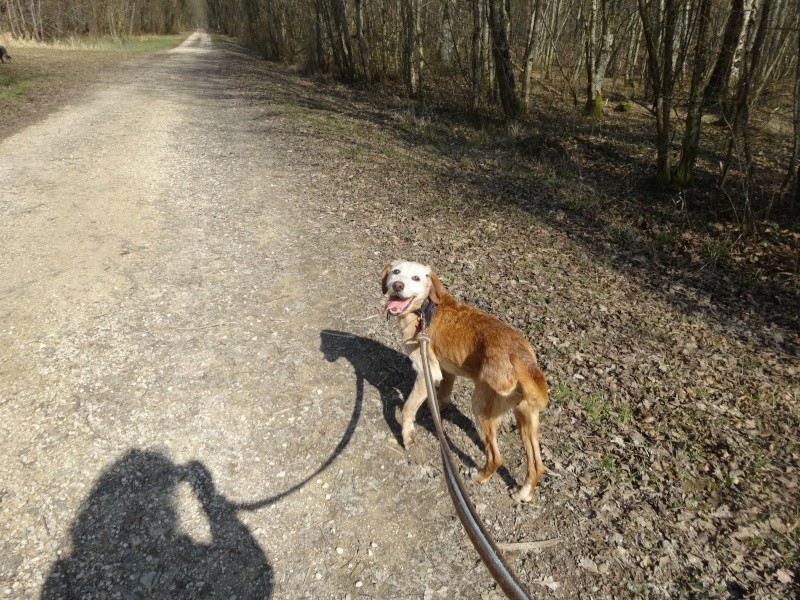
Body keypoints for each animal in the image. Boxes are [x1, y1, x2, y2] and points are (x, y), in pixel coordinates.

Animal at [382, 260, 552, 504]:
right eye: (396, 272)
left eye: (416, 278)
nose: (397, 285)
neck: (424, 310)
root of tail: (525, 359)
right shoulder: (446, 371)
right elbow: (441, 396)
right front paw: (434, 413)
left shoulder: (427, 371)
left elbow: (408, 408)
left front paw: (408, 437)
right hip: (527, 419)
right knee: (537, 465)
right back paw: (524, 493)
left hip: (481, 408)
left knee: (496, 458)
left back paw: (479, 476)